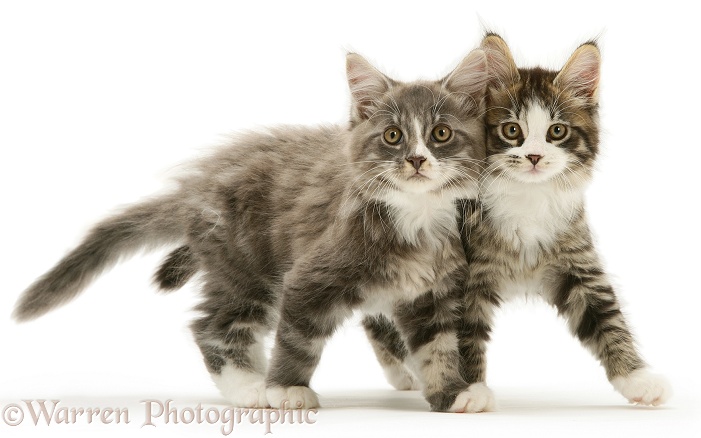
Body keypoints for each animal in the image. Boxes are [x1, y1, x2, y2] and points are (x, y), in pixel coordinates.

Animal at [13, 49, 490, 412]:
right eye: (392, 136)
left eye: (441, 133)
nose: (416, 160)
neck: (417, 216)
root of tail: (199, 184)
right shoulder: (309, 277)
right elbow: (297, 340)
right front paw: (288, 389)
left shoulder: (431, 295)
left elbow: (439, 348)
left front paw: (452, 393)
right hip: (244, 266)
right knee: (213, 326)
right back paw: (250, 387)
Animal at [364, 35, 668, 410]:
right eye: (512, 130)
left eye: (556, 131)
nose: (534, 156)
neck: (527, 198)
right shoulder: (462, 278)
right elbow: (459, 337)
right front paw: (468, 390)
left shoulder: (577, 265)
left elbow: (608, 320)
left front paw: (638, 379)